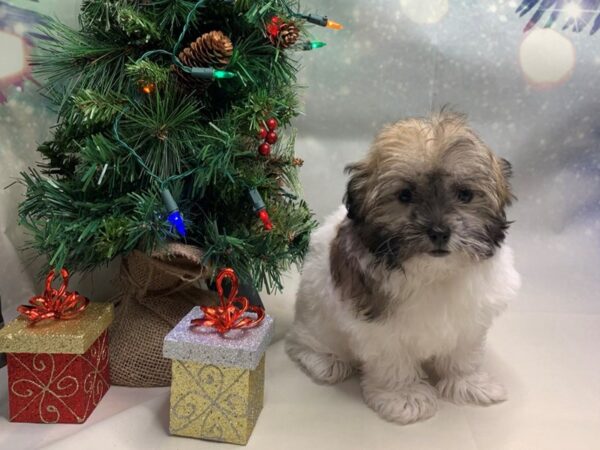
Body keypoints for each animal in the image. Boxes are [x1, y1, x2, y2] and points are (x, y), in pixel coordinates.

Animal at [286, 112, 520, 426]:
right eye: (405, 195)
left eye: (465, 194)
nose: (439, 232)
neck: (434, 273)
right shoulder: (381, 330)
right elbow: (394, 362)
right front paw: (405, 396)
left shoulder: (471, 318)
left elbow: (464, 353)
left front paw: (470, 383)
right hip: (316, 319)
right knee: (303, 343)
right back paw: (325, 361)